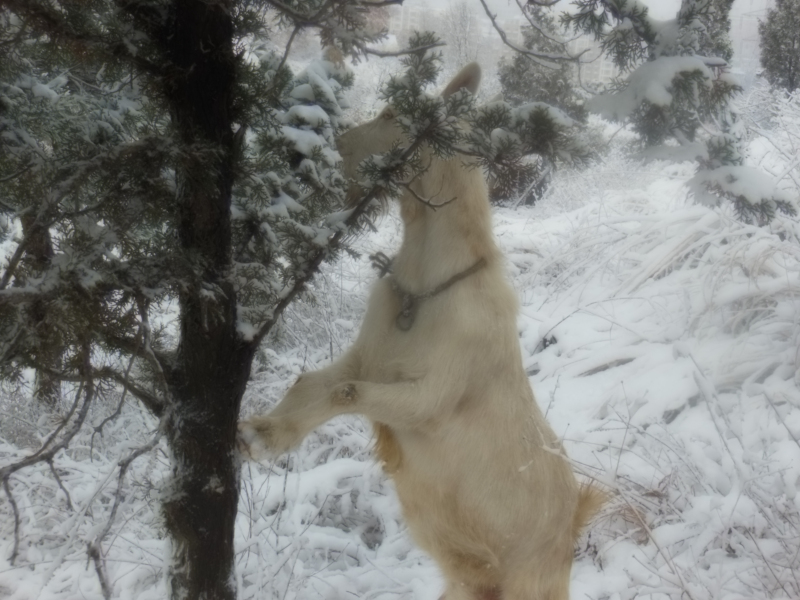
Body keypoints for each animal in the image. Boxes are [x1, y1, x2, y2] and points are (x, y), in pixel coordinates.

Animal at [241, 64, 604, 600]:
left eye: (394, 113)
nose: (301, 151)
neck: (424, 288)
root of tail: (571, 527)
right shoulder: (364, 357)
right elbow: (313, 384)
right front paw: (262, 437)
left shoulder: (429, 400)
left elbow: (348, 394)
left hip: (530, 585)